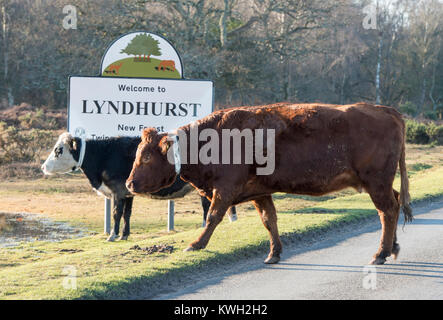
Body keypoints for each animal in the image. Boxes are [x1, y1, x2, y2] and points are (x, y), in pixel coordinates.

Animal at [41, 132, 236, 240]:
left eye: (58, 150)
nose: (43, 167)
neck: (104, 155)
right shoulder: (127, 192)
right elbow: (127, 214)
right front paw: (125, 234)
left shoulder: (117, 192)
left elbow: (116, 213)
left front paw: (112, 235)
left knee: (207, 205)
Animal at [125, 102, 412, 264]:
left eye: (146, 156)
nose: (129, 184)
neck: (211, 139)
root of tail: (387, 110)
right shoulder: (259, 192)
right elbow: (269, 220)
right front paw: (274, 253)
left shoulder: (225, 189)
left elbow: (213, 217)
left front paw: (196, 244)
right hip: (381, 183)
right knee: (396, 203)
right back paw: (393, 248)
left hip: (376, 182)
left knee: (387, 211)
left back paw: (381, 253)